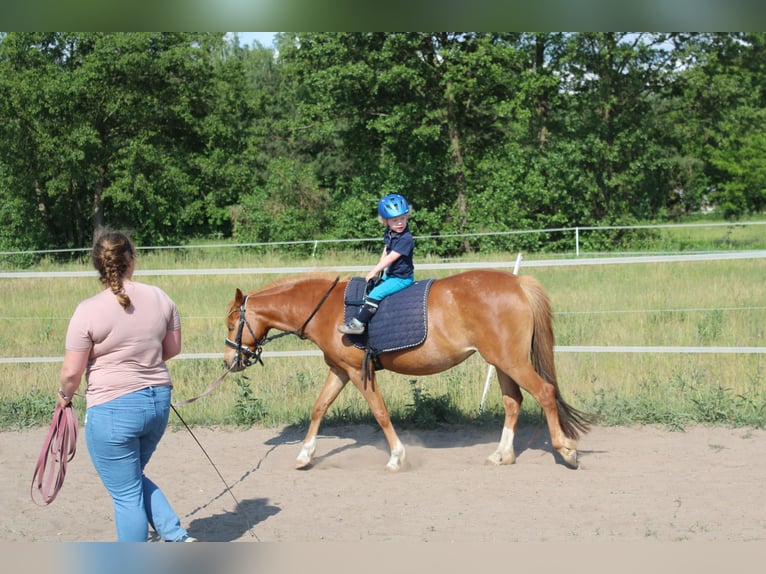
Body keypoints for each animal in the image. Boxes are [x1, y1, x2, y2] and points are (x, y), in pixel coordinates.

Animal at [224, 270, 592, 472]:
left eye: (230, 324)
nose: (230, 361)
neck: (328, 309)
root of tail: (518, 283)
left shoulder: (358, 372)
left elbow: (380, 413)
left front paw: (397, 457)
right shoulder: (340, 371)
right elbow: (319, 408)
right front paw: (304, 455)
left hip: (511, 361)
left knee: (544, 393)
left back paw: (566, 450)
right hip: (501, 362)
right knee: (513, 402)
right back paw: (502, 455)